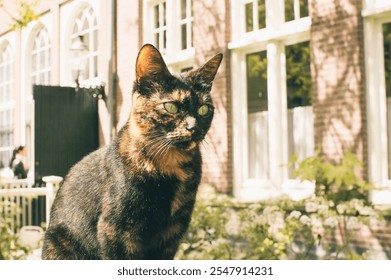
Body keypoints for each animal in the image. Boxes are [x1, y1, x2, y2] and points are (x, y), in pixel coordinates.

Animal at [42, 44, 224, 260]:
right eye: (171, 107)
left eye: (204, 109)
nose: (194, 128)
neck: (170, 166)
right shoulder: (116, 230)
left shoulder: (172, 232)